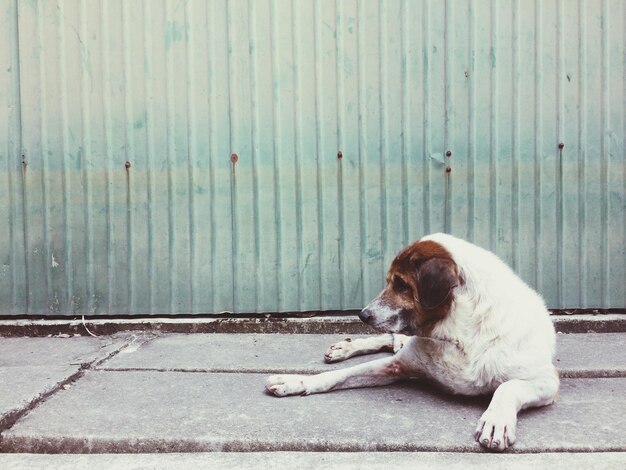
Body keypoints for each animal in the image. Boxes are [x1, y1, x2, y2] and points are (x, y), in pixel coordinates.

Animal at [266, 233, 560, 450]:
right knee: (390, 339)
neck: (457, 336)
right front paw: (296, 382)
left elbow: (507, 387)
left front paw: (496, 420)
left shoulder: (546, 380)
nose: (362, 314)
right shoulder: (398, 363)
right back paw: (344, 347)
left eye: (401, 284)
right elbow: (337, 376)